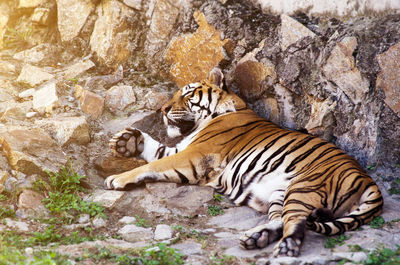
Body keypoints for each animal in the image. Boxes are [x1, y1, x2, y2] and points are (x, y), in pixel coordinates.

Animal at [104, 67, 382, 256]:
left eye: (188, 94)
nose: (163, 109)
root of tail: (368, 180)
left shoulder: (195, 155)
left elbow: (152, 165)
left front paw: (116, 178)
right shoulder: (183, 148)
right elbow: (156, 150)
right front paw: (127, 140)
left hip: (304, 187)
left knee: (296, 224)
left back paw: (284, 250)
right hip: (281, 193)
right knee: (281, 219)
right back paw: (255, 238)